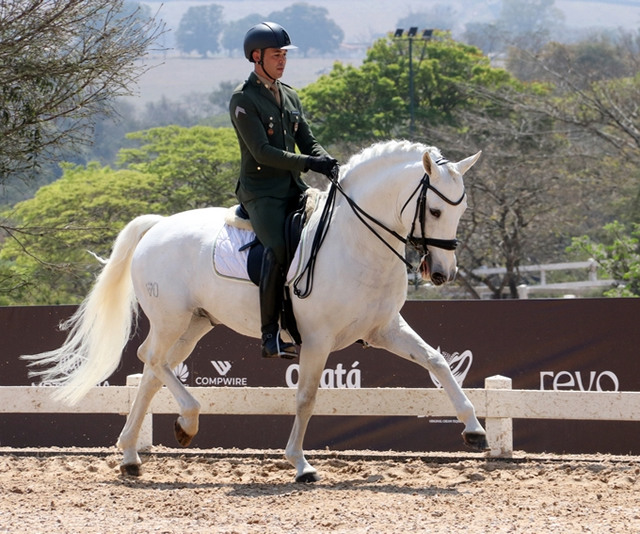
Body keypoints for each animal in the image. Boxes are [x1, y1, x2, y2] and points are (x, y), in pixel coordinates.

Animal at [23, 139, 488, 482]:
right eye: (434, 210)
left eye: (462, 210)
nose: (442, 272)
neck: (357, 242)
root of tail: (157, 226)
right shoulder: (317, 340)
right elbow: (306, 396)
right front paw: (300, 463)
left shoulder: (384, 329)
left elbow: (437, 363)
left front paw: (475, 431)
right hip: (172, 318)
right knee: (152, 360)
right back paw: (185, 422)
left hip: (195, 324)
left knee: (154, 369)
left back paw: (132, 455)